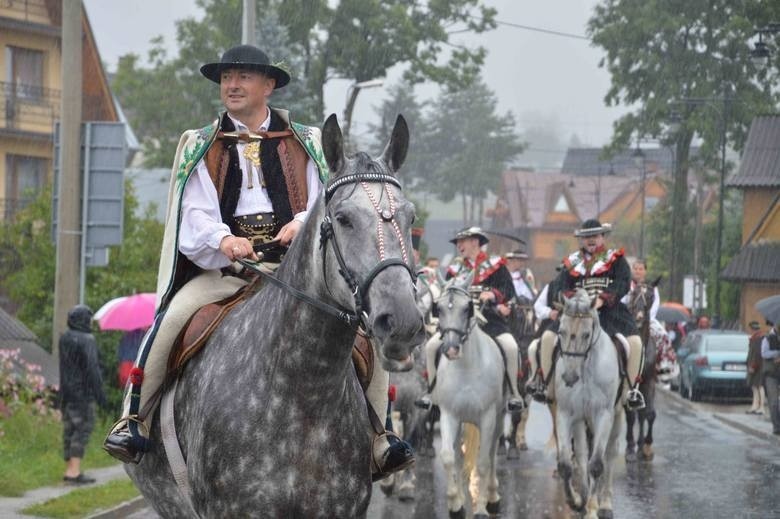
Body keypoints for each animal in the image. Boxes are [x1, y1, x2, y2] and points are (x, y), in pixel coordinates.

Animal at [430, 274, 502, 516]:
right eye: (439, 308)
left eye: (466, 308)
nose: (451, 349)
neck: (466, 368)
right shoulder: (449, 415)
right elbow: (448, 457)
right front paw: (455, 504)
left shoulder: (488, 417)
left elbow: (483, 462)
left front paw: (480, 509)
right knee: (459, 457)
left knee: (492, 454)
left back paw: (492, 497)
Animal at [556, 288, 620, 519]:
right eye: (561, 331)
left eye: (586, 334)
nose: (569, 377)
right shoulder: (565, 413)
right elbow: (566, 464)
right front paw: (575, 501)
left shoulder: (604, 414)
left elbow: (597, 465)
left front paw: (592, 508)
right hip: (580, 420)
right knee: (582, 454)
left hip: (617, 416)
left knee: (610, 454)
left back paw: (605, 504)